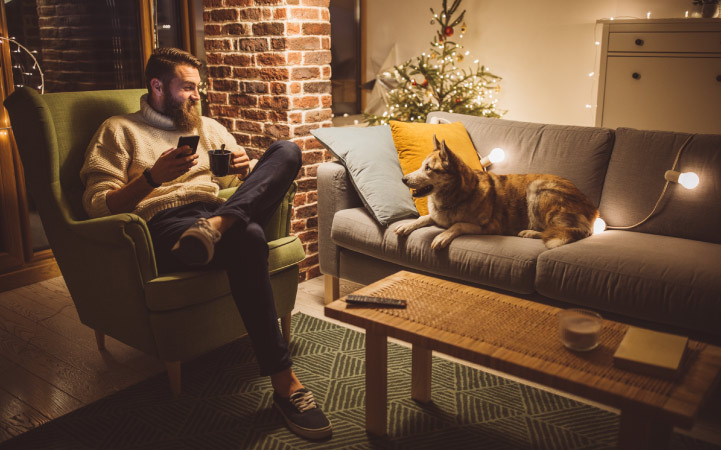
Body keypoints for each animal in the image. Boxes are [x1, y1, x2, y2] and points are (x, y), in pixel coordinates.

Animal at [394, 136, 596, 250]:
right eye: (422, 165)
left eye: (428, 168)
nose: (403, 179)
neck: (460, 195)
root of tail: (593, 208)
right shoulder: (437, 217)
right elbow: (424, 218)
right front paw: (407, 225)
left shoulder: (490, 227)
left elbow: (458, 225)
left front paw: (442, 236)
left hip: (537, 188)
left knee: (570, 232)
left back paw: (530, 233)